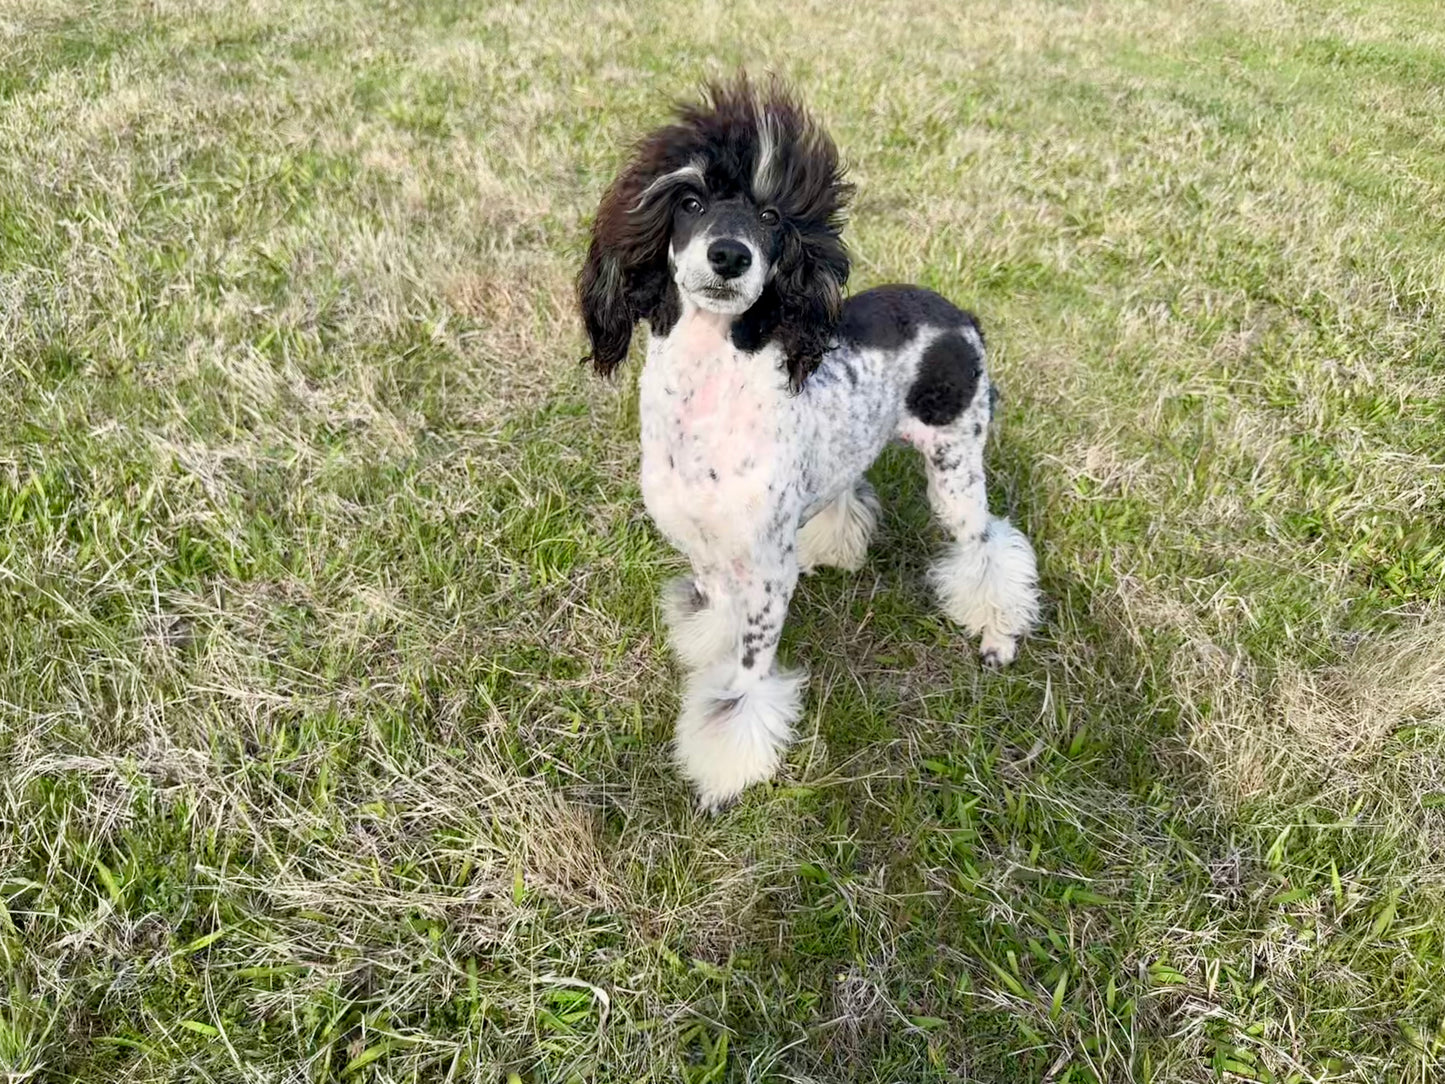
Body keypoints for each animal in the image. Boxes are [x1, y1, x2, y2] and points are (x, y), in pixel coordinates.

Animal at [580, 80, 1046, 809]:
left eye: (771, 214)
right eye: (689, 202)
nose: (729, 255)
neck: (708, 402)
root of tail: (960, 317)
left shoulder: (769, 572)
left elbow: (744, 685)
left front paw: (719, 775)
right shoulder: (705, 549)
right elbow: (716, 619)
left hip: (956, 465)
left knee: (988, 547)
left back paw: (997, 633)